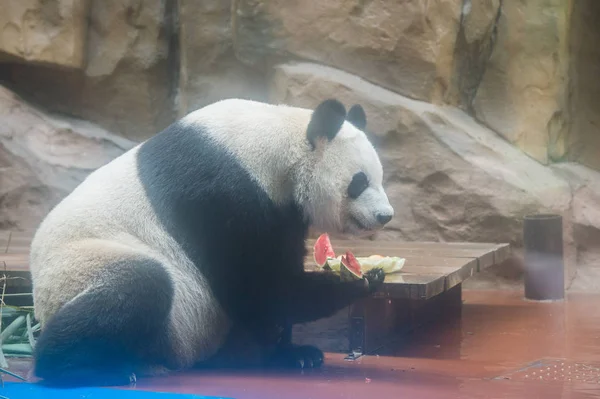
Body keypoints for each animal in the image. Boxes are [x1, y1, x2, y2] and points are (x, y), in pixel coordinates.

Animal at [28, 98, 394, 390]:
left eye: (380, 176)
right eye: (359, 182)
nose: (385, 215)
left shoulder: (283, 210)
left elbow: (278, 275)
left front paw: (295, 354)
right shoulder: (220, 190)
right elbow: (258, 286)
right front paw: (360, 280)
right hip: (81, 267)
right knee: (139, 286)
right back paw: (87, 368)